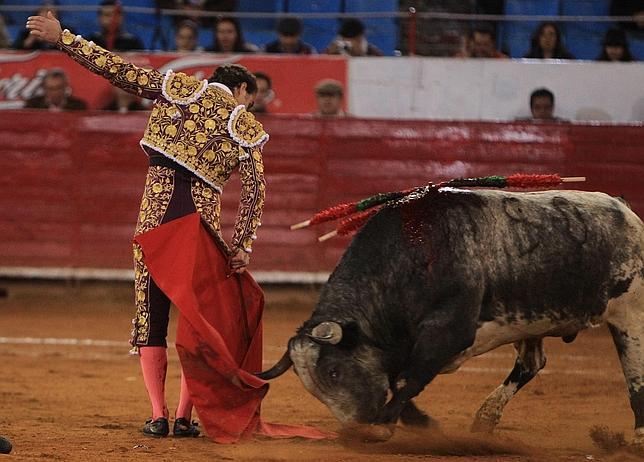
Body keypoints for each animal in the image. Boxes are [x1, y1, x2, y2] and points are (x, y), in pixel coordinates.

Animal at [260, 187, 644, 440]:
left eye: (334, 372)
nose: (354, 429)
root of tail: (625, 209)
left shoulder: (450, 332)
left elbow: (408, 378)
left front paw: (385, 423)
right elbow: (397, 378)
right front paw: (417, 422)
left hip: (631, 314)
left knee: (635, 374)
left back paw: (637, 435)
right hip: (532, 321)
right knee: (531, 364)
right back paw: (485, 420)